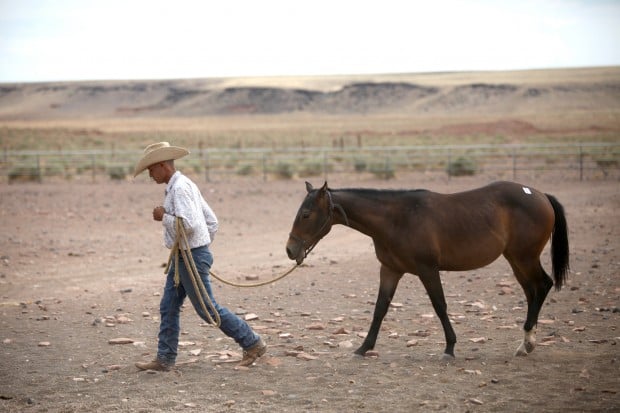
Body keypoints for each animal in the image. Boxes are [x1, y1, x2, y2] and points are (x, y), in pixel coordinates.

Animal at [288, 180, 568, 358]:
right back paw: (526, 343)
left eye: (305, 214)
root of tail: (541, 195)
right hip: (515, 259)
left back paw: (527, 343)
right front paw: (363, 348)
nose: (290, 250)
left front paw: (450, 348)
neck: (398, 219)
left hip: (525, 257)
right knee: (532, 291)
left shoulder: (428, 269)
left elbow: (439, 305)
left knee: (542, 286)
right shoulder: (390, 270)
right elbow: (380, 309)